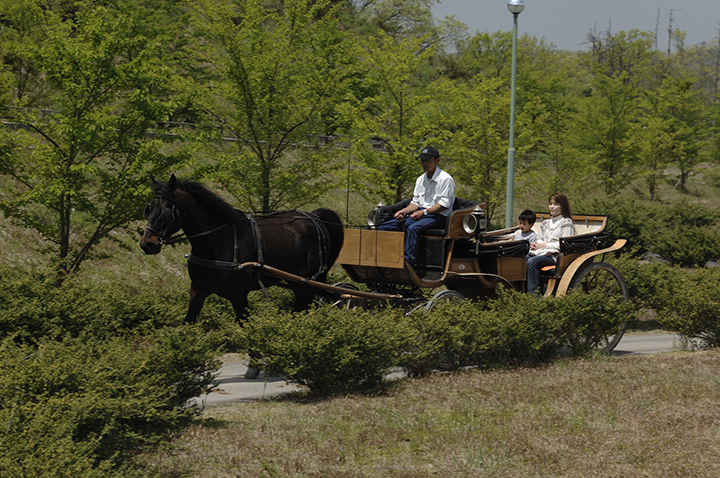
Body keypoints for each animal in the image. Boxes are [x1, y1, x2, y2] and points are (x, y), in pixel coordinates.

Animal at [139, 174, 345, 323]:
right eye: (148, 209)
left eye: (165, 210)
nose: (147, 244)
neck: (217, 243)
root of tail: (314, 217)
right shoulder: (198, 289)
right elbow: (188, 321)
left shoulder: (238, 295)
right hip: (297, 282)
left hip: (304, 282)